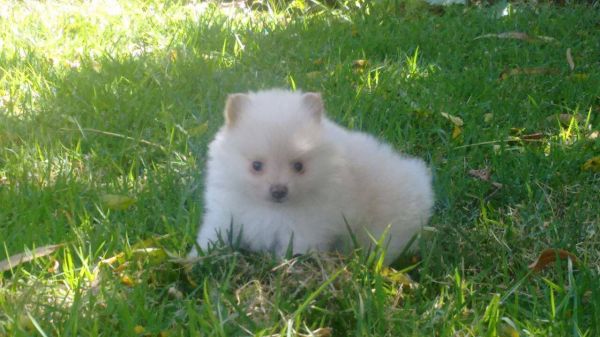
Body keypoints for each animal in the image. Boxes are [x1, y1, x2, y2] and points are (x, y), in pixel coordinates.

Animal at [191, 90, 432, 266]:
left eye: (299, 166)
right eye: (256, 166)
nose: (279, 190)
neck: (270, 209)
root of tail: (421, 184)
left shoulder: (306, 227)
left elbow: (296, 250)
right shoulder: (226, 213)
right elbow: (212, 234)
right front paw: (194, 260)